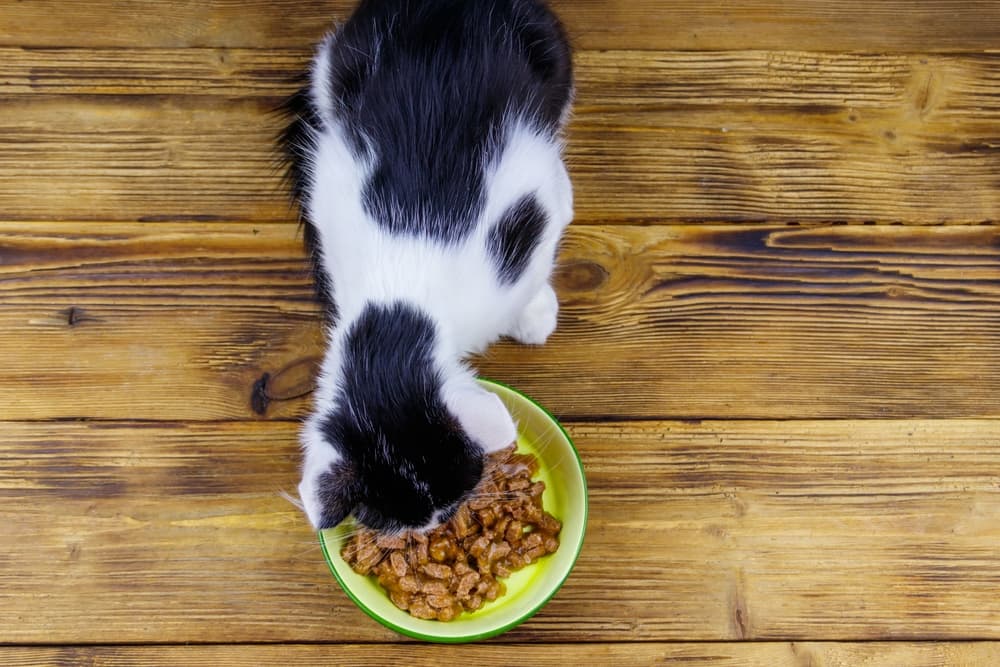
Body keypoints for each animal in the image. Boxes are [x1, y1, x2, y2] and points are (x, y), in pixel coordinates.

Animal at [282, 0, 576, 532]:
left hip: (548, 56)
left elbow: (545, 241)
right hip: (335, 65)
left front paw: (534, 313)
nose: (441, 520)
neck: (401, 299)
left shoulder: (533, 199)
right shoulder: (326, 200)